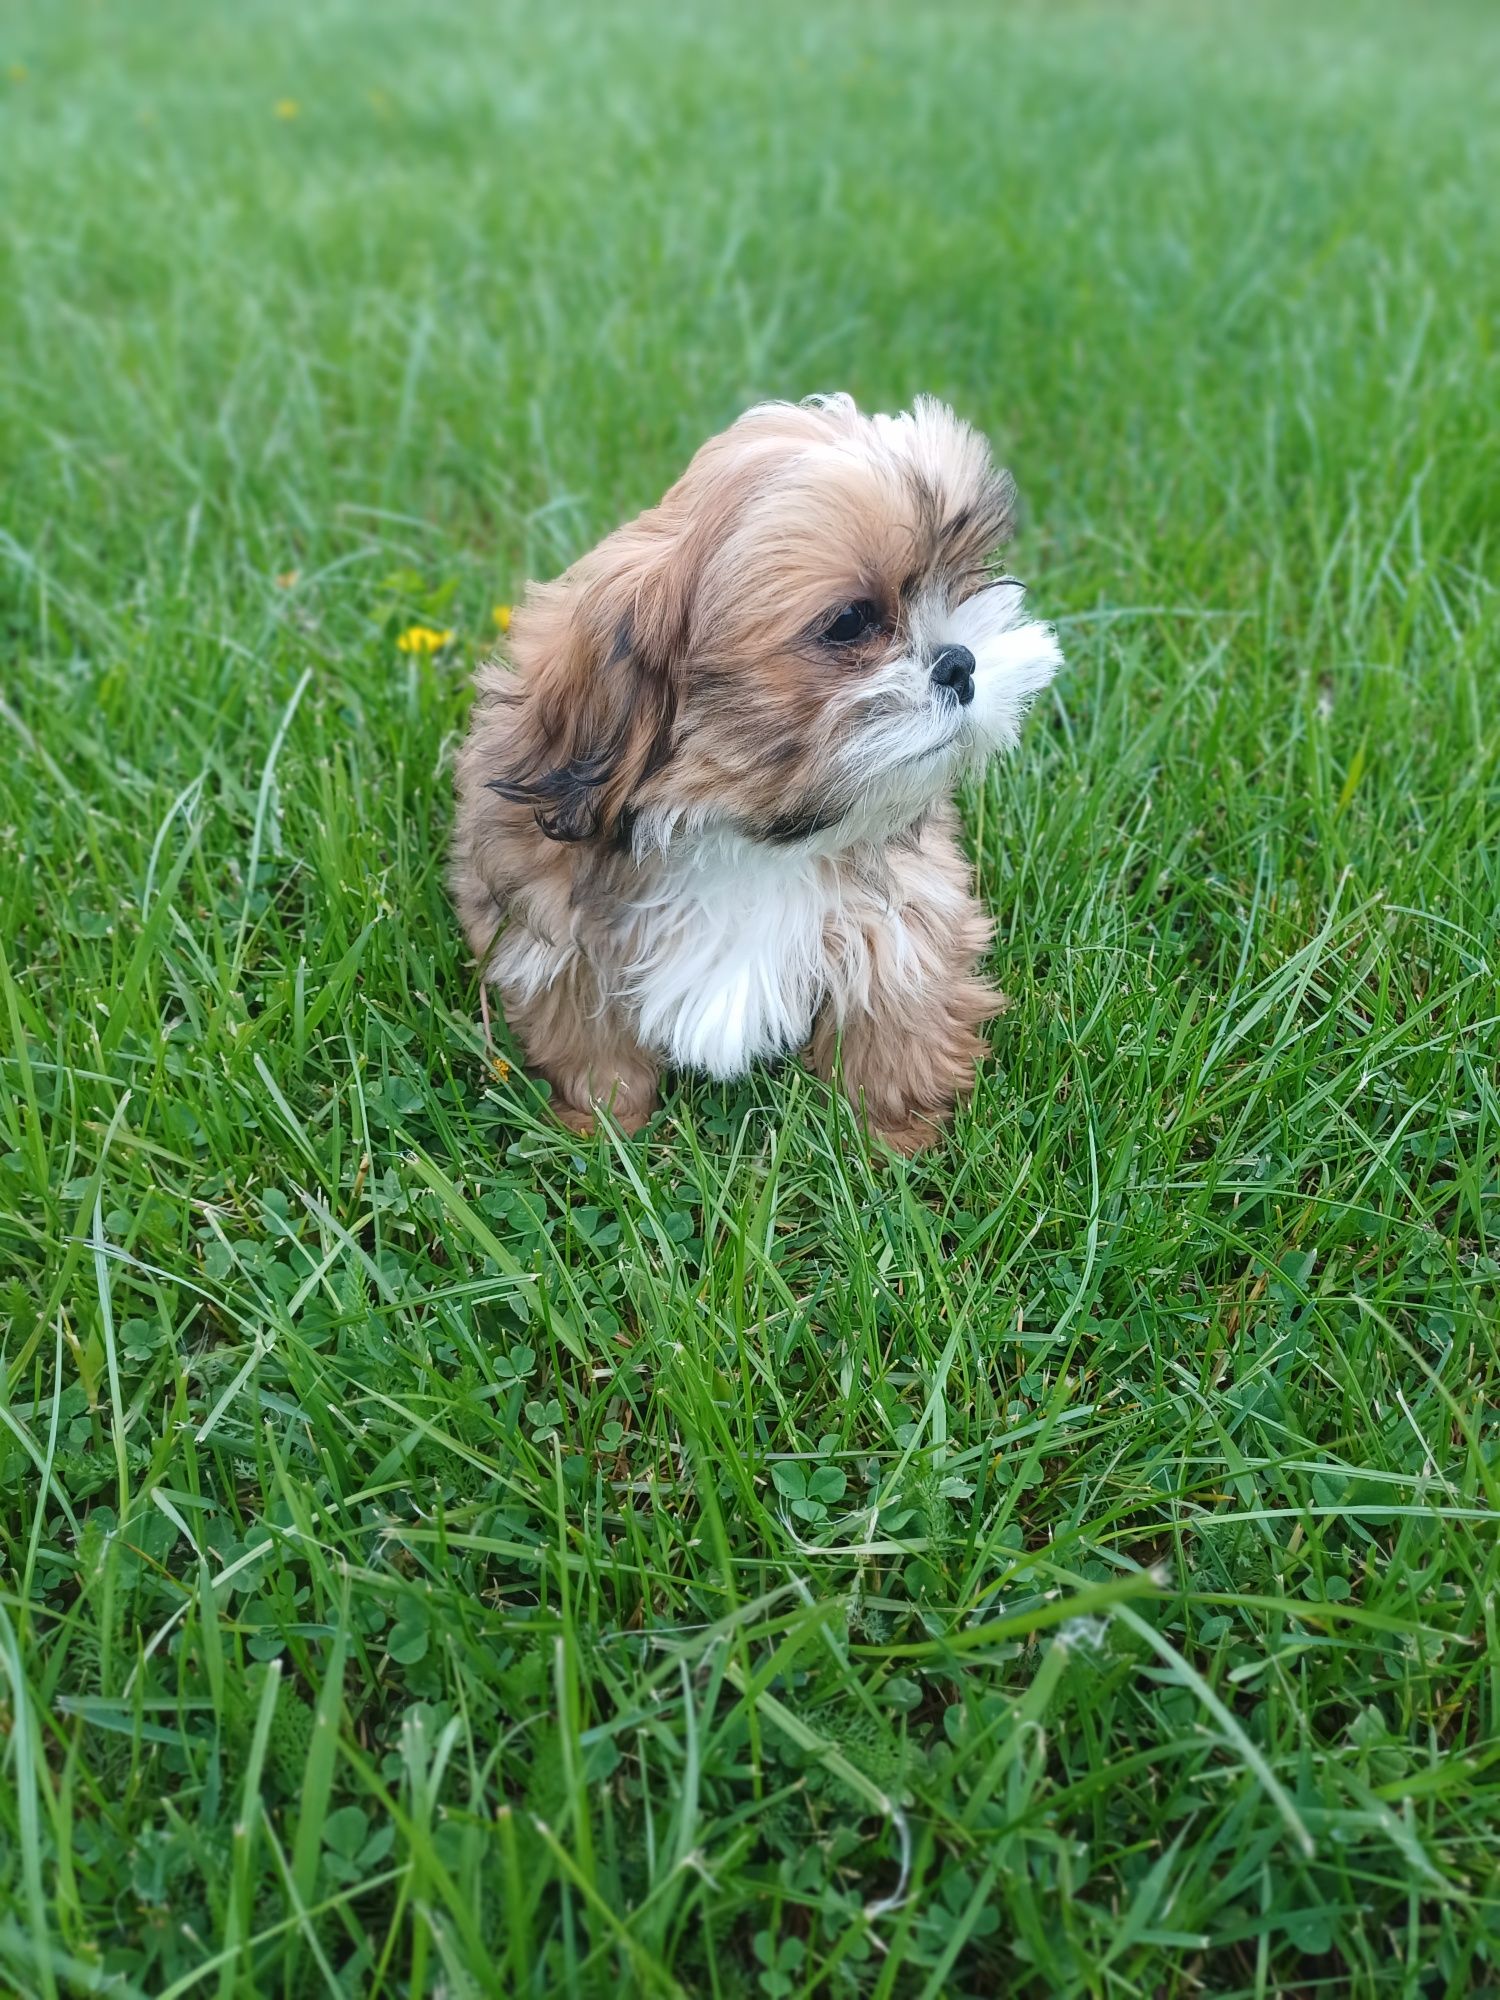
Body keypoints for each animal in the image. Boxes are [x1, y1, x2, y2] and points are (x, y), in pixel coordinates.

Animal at [452, 390, 1064, 1152]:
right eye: (850, 622)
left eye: (965, 583)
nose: (961, 662)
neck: (744, 836)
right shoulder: (554, 931)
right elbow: (590, 1039)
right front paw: (602, 1126)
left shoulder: (909, 916)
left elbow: (894, 1024)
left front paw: (893, 1140)